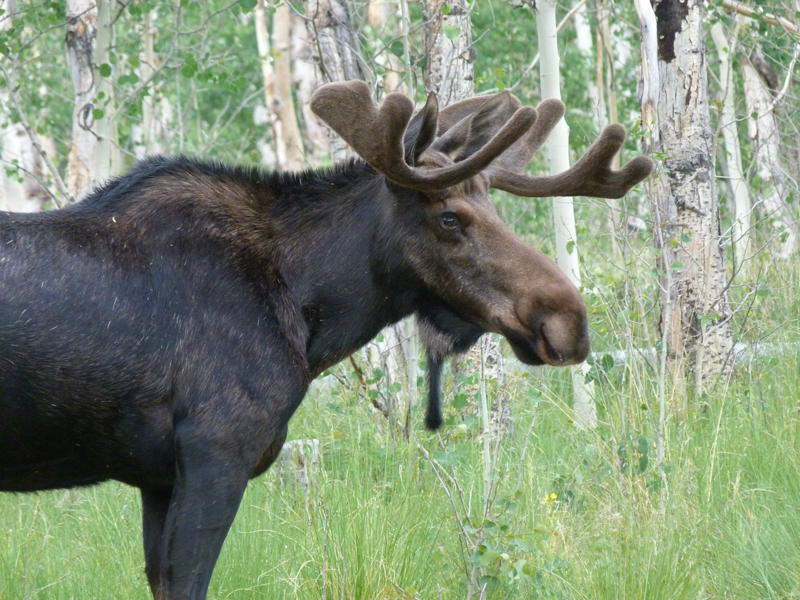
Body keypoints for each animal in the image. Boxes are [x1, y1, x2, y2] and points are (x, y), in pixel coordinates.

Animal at [0, 80, 653, 599]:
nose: (568, 320)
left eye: (495, 209)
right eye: (448, 218)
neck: (308, 317)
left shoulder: (158, 477)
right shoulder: (216, 452)